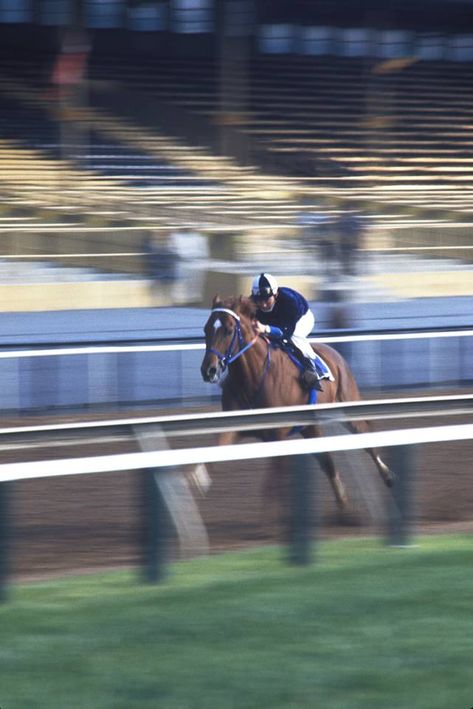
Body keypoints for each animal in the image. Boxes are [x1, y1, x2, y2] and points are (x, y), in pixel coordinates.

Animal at [200, 294, 394, 508]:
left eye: (228, 330)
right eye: (206, 329)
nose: (208, 370)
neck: (252, 377)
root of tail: (335, 353)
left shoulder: (277, 435)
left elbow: (272, 485)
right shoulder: (235, 427)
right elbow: (216, 449)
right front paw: (197, 477)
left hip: (347, 407)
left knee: (365, 437)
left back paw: (387, 476)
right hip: (310, 426)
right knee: (327, 460)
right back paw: (343, 503)